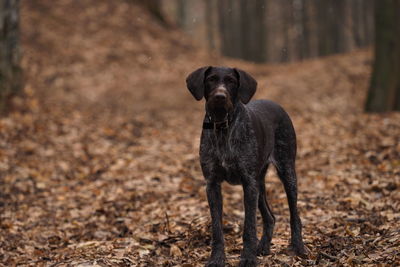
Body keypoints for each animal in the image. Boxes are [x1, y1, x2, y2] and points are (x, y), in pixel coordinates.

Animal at [186, 66, 308, 266]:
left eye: (231, 81)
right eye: (211, 79)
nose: (220, 96)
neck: (223, 126)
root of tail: (277, 105)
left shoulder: (248, 183)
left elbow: (249, 226)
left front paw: (248, 258)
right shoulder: (212, 185)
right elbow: (217, 228)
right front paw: (217, 258)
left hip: (287, 172)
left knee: (294, 214)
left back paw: (298, 247)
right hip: (259, 183)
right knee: (270, 217)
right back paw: (263, 247)